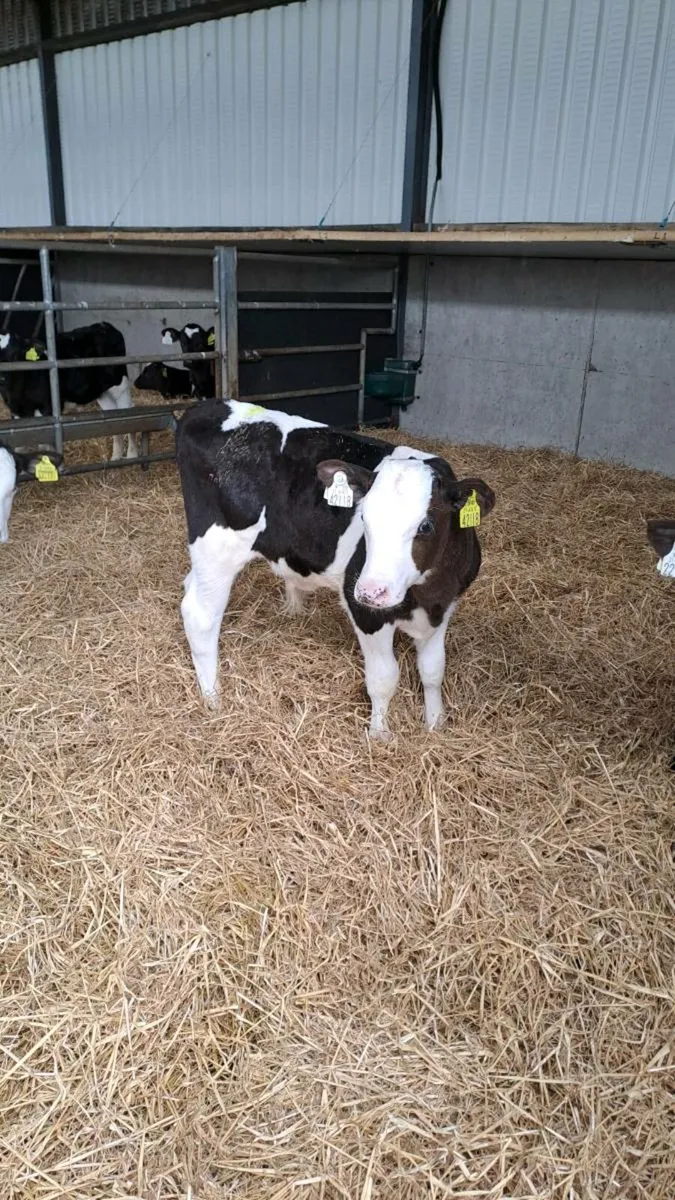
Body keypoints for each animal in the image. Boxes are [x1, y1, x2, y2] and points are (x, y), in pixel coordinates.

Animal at [0, 322, 137, 460]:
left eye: (15, 355)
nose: (2, 378)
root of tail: (104, 325)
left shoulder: (47, 410)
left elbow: (44, 447)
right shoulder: (16, 413)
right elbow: (20, 446)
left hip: (120, 387)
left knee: (129, 413)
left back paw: (132, 455)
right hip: (103, 393)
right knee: (115, 418)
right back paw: (116, 457)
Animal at [176, 399, 495, 738]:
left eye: (426, 525)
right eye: (364, 518)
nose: (371, 590)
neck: (427, 593)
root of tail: (206, 407)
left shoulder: (446, 605)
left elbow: (433, 670)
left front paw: (435, 723)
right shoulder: (365, 612)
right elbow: (384, 678)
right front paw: (379, 736)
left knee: (189, 586)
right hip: (216, 547)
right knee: (199, 615)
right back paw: (213, 698)